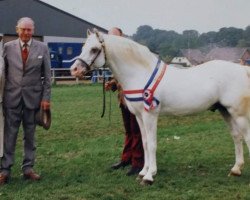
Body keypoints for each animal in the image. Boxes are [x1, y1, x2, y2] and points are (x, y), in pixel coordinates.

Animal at [71, 29, 250, 184]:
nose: (75, 70)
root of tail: (243, 69)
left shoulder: (150, 115)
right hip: (225, 111)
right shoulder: (139, 116)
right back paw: (235, 169)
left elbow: (151, 144)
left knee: (246, 136)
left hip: (239, 114)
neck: (140, 73)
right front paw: (143, 171)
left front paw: (149, 176)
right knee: (236, 136)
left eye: (94, 49)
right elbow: (144, 143)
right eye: (83, 47)